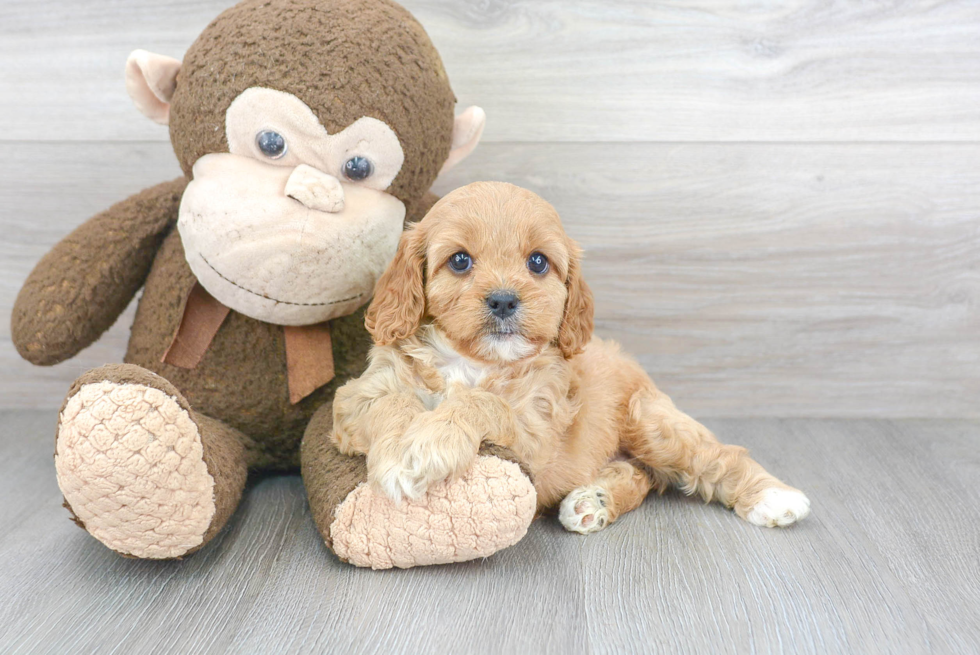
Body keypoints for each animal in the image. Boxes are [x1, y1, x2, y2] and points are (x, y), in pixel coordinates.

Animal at [332, 183, 812, 532]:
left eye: (538, 263)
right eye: (460, 260)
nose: (504, 300)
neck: (471, 362)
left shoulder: (535, 429)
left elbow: (481, 402)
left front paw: (423, 447)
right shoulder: (356, 398)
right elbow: (393, 401)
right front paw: (400, 449)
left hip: (651, 423)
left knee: (714, 456)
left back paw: (775, 497)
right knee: (643, 475)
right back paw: (592, 501)